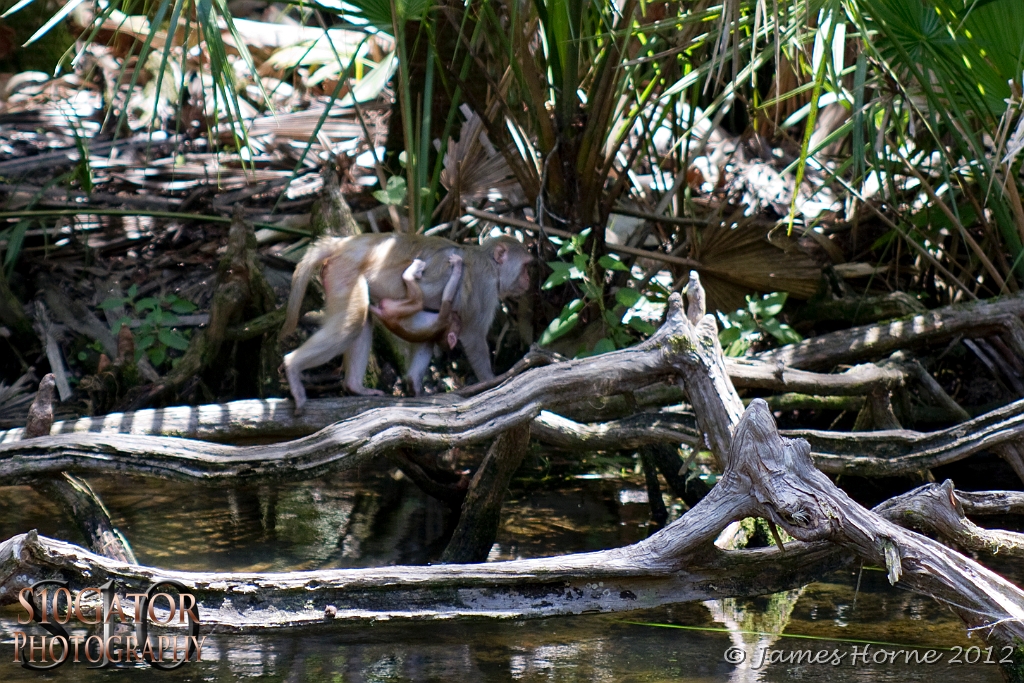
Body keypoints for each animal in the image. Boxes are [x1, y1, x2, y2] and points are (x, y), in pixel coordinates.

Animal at [284, 232, 532, 411]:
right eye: (525, 266)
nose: (529, 280)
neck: (490, 264)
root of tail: (346, 244)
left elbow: (428, 336)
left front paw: (414, 385)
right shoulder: (484, 287)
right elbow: (474, 337)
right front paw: (491, 382)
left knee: (363, 319)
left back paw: (355, 387)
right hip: (346, 274)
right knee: (352, 323)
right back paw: (292, 367)